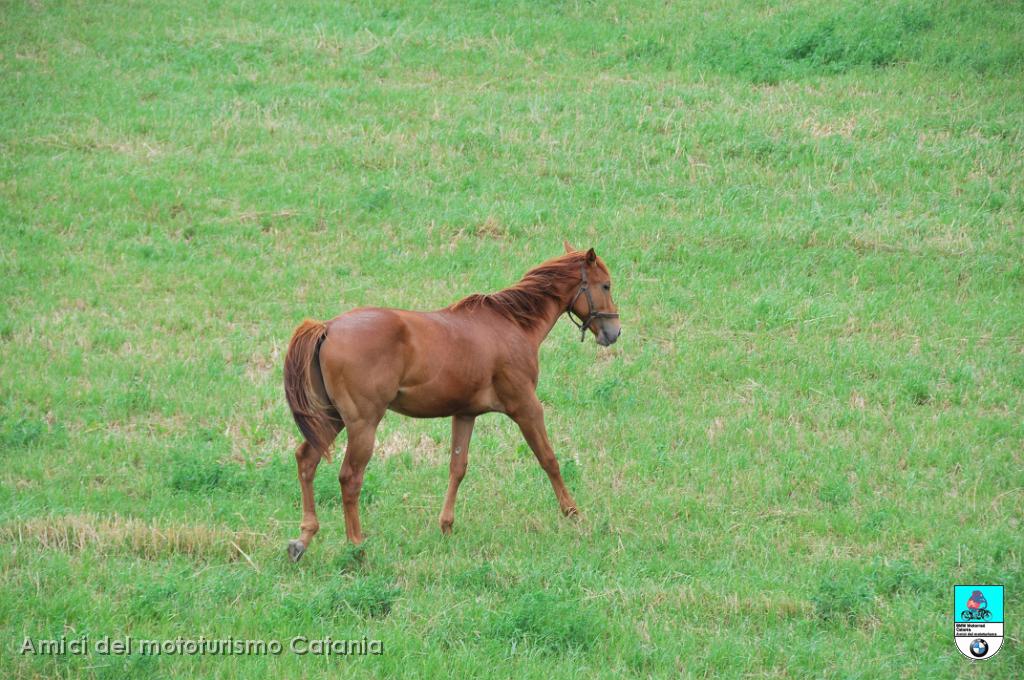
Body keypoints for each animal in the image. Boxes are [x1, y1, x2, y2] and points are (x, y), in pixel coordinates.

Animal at [280, 241, 618, 561]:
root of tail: (328, 327)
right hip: (362, 424)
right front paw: (573, 513)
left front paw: (446, 525)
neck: (511, 324)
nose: (614, 332)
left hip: (332, 419)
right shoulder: (526, 407)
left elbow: (457, 467)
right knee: (350, 478)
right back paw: (357, 547)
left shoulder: (464, 414)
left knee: (306, 460)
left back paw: (304, 538)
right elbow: (548, 459)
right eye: (606, 285)